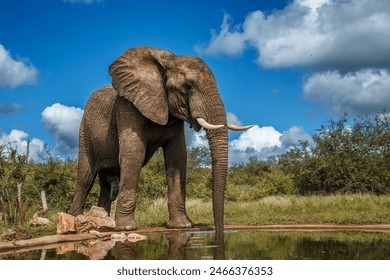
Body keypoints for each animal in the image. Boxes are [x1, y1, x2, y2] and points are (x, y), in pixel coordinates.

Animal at [69, 46, 253, 231]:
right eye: (188, 86)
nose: (219, 231)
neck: (168, 61)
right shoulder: (127, 106)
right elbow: (134, 153)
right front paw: (126, 228)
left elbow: (177, 157)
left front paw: (182, 226)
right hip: (84, 132)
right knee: (85, 180)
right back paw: (76, 222)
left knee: (105, 185)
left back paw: (104, 222)